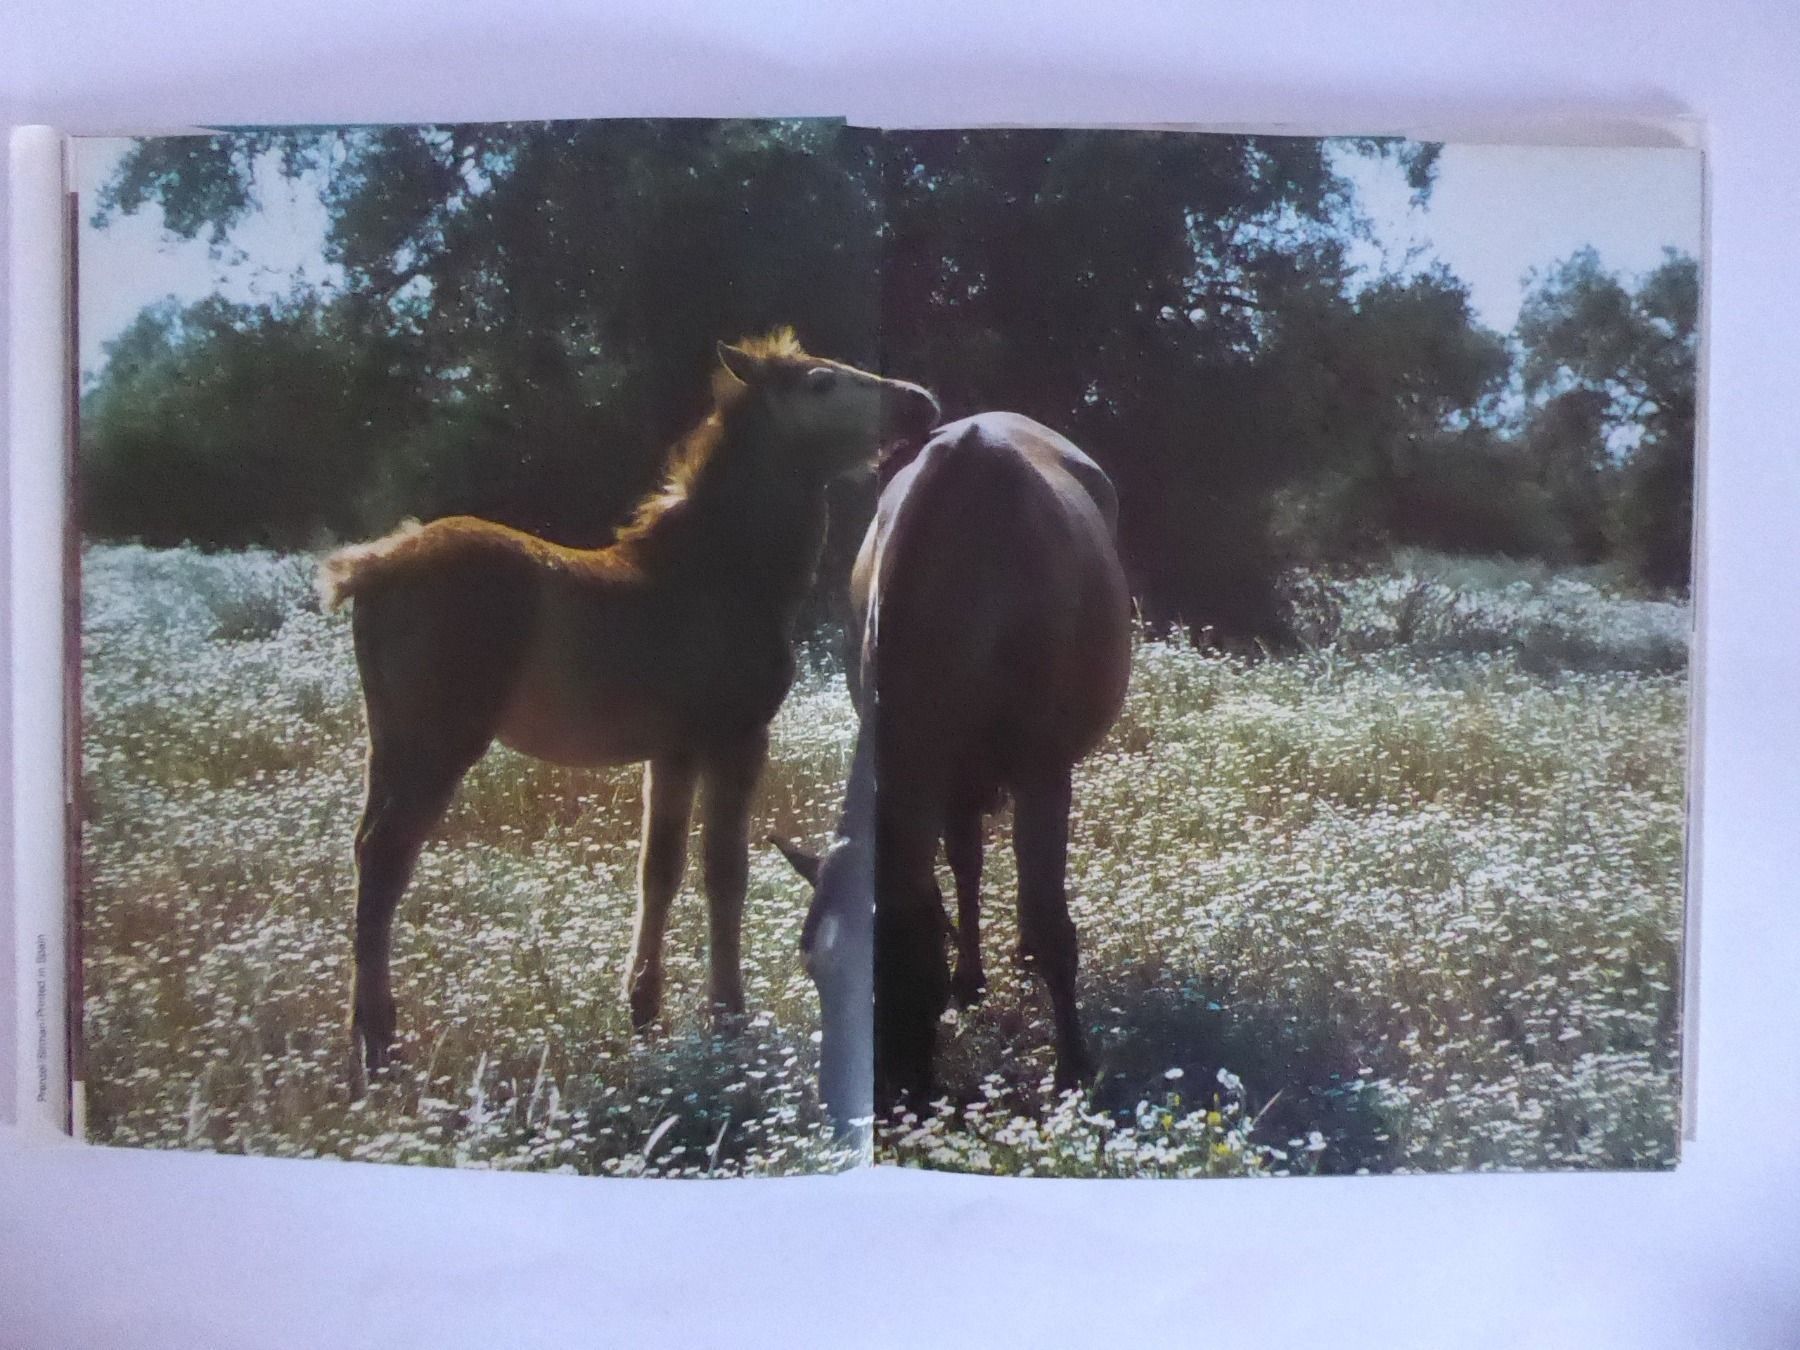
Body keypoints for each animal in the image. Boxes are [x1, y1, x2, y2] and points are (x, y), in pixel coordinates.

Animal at [317, 329, 940, 1079]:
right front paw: (727, 1015)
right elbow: (725, 870)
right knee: (386, 858)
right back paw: (377, 1043)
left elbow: (658, 870)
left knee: (366, 852)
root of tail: (374, 565)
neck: (720, 573)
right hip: (436, 742)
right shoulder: (735, 738)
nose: (921, 401)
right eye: (822, 382)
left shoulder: (670, 753)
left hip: (389, 741)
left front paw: (645, 1010)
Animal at [774, 411, 1131, 1122]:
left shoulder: (1043, 769)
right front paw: (968, 979)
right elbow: (963, 866)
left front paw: (1074, 1069)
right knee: (969, 862)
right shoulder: (943, 767)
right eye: (813, 970)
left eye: (889, 972)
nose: (852, 1114)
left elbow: (1052, 918)